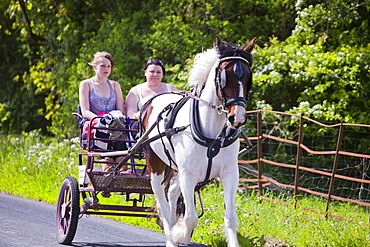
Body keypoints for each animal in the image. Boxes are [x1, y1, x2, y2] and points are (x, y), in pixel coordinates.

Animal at [139, 35, 254, 247]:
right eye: (224, 76)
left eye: (248, 77)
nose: (238, 118)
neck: (212, 133)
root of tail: (151, 102)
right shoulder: (188, 174)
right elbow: (191, 218)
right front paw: (180, 235)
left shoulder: (230, 173)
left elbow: (231, 217)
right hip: (156, 165)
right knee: (162, 203)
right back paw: (170, 237)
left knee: (172, 192)